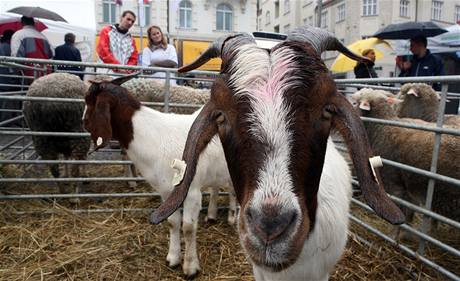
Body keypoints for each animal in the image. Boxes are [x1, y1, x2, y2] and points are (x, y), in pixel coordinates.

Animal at [82, 75, 237, 278]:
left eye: (89, 101)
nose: (82, 122)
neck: (152, 136)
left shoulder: (192, 191)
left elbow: (188, 228)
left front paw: (190, 268)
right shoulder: (166, 192)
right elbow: (172, 223)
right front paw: (173, 259)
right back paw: (217, 215)